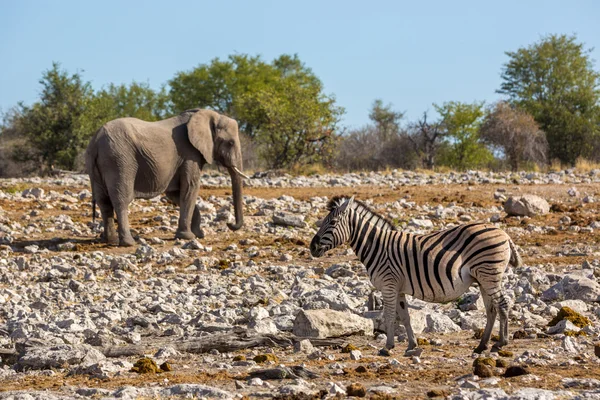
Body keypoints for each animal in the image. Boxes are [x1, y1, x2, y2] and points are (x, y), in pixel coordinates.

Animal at [85, 109, 246, 247]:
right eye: (230, 143)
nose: (229, 224)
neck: (208, 115)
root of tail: (96, 141)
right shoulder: (190, 154)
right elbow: (190, 188)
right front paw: (187, 237)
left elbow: (176, 194)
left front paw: (199, 234)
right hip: (120, 161)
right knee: (121, 200)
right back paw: (129, 242)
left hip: (99, 164)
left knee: (103, 201)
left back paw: (110, 240)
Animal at [310, 195, 520, 354]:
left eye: (332, 223)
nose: (312, 247)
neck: (377, 247)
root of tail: (504, 233)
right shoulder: (398, 288)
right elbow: (405, 316)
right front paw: (411, 345)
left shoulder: (388, 285)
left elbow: (389, 316)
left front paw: (387, 347)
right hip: (483, 278)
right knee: (492, 309)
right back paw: (481, 345)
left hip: (489, 274)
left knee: (502, 304)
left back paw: (500, 343)